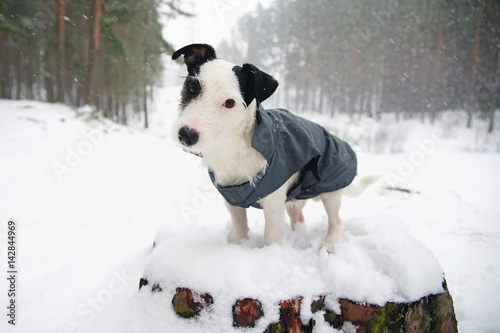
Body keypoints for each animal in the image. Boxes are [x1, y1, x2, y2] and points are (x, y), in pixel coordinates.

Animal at [172, 43, 372, 252]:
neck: (234, 147)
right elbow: (241, 229)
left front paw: (271, 253)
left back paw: (329, 245)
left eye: (229, 103)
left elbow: (272, 236)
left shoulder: (274, 203)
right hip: (295, 200)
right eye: (193, 87)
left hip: (331, 192)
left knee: (336, 221)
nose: (186, 135)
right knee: (299, 218)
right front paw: (241, 246)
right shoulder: (233, 201)